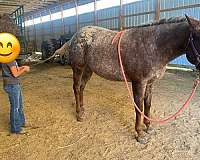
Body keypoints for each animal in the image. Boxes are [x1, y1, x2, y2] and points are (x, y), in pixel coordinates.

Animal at [55, 15, 200, 144]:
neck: (153, 45)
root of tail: (74, 36)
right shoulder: (139, 83)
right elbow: (139, 107)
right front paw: (140, 134)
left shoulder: (150, 83)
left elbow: (148, 104)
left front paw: (149, 127)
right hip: (78, 68)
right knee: (76, 87)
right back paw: (79, 114)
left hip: (88, 70)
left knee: (81, 87)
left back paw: (83, 109)